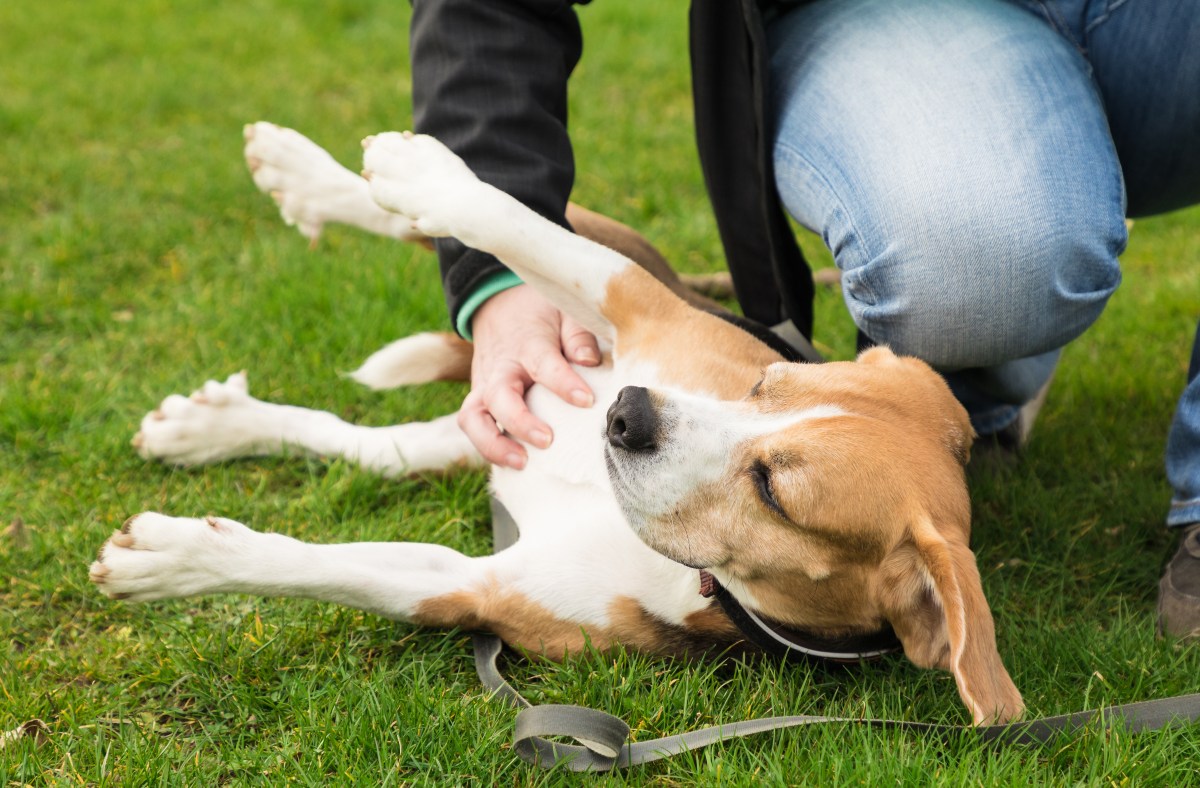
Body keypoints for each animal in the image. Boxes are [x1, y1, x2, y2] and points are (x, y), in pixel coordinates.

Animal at [91, 121, 1022, 724]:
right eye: (763, 382)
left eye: (775, 492)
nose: (628, 412)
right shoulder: (639, 306)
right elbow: (513, 223)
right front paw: (423, 180)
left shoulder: (476, 586)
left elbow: (325, 566)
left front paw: (176, 559)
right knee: (486, 225)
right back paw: (320, 175)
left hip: (467, 438)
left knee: (372, 448)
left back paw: (214, 425)